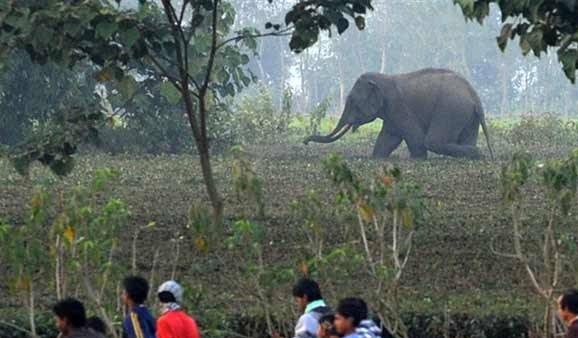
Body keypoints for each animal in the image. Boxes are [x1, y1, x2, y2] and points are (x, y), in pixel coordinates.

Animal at [302, 68, 490, 160]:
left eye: (353, 102)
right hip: (467, 116)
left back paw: (477, 153)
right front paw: (377, 158)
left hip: (451, 110)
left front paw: (417, 158)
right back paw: (475, 154)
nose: (305, 142)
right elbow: (389, 137)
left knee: (432, 141)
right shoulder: (391, 113)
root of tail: (474, 96)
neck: (383, 78)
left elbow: (415, 137)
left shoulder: (399, 107)